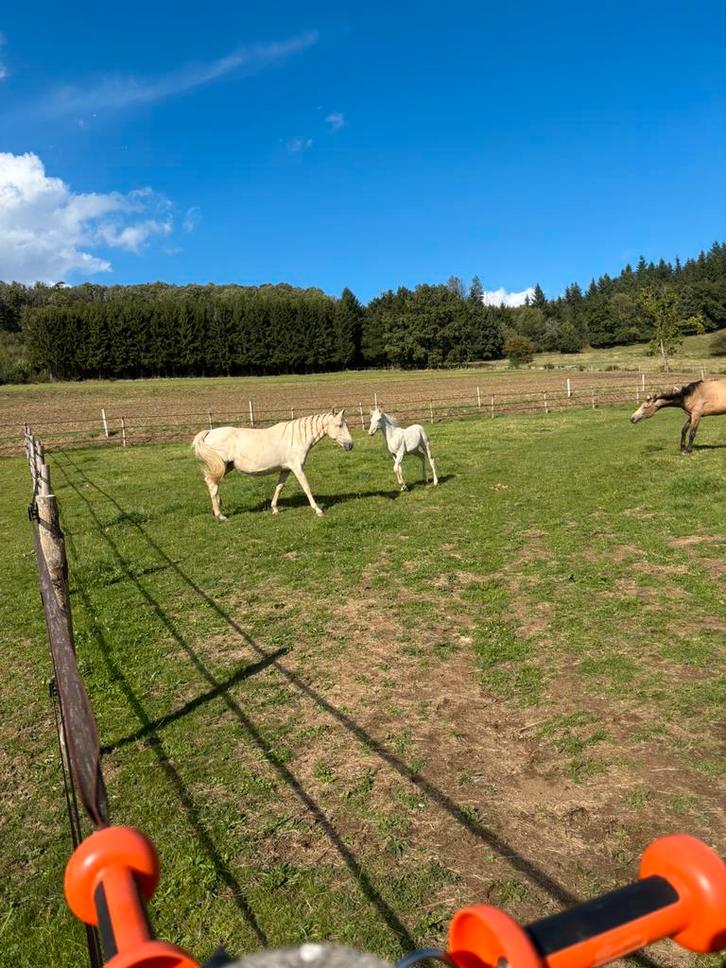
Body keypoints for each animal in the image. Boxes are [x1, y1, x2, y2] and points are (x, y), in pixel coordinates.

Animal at [192, 409, 353, 520]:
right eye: (339, 425)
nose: (350, 445)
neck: (296, 437)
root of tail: (209, 432)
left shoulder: (286, 469)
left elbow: (279, 487)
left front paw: (275, 509)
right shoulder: (297, 468)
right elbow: (306, 487)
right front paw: (318, 510)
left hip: (226, 467)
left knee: (212, 483)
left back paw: (217, 510)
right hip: (222, 466)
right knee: (212, 484)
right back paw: (220, 515)